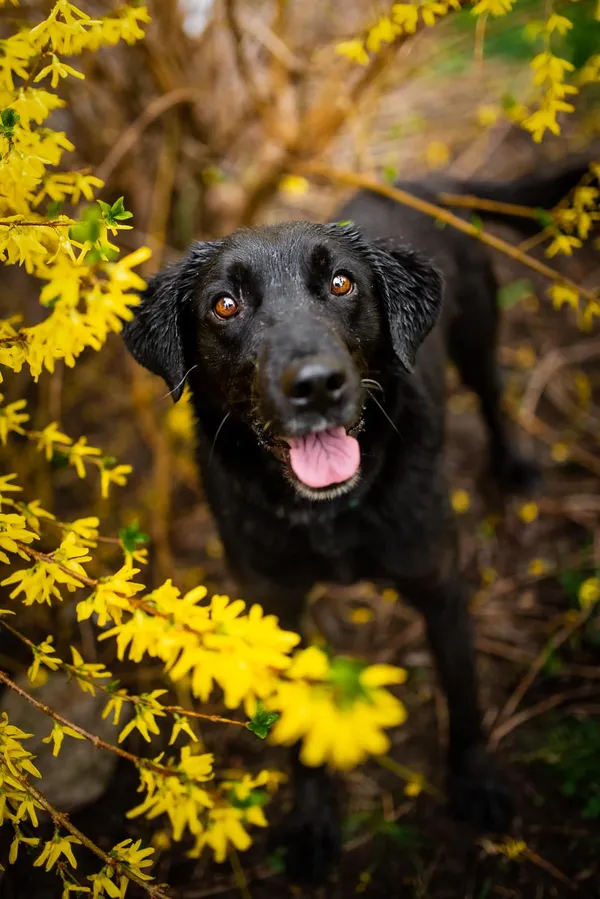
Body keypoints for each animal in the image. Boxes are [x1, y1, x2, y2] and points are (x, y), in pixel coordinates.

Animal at [123, 162, 592, 884]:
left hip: (480, 329)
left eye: (342, 283)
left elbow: (464, 695)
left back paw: (513, 465)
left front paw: (477, 783)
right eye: (224, 304)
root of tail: (431, 180)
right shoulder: (276, 605)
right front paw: (313, 821)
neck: (332, 510)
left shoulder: (440, 584)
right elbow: (296, 725)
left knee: (492, 395)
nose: (316, 384)